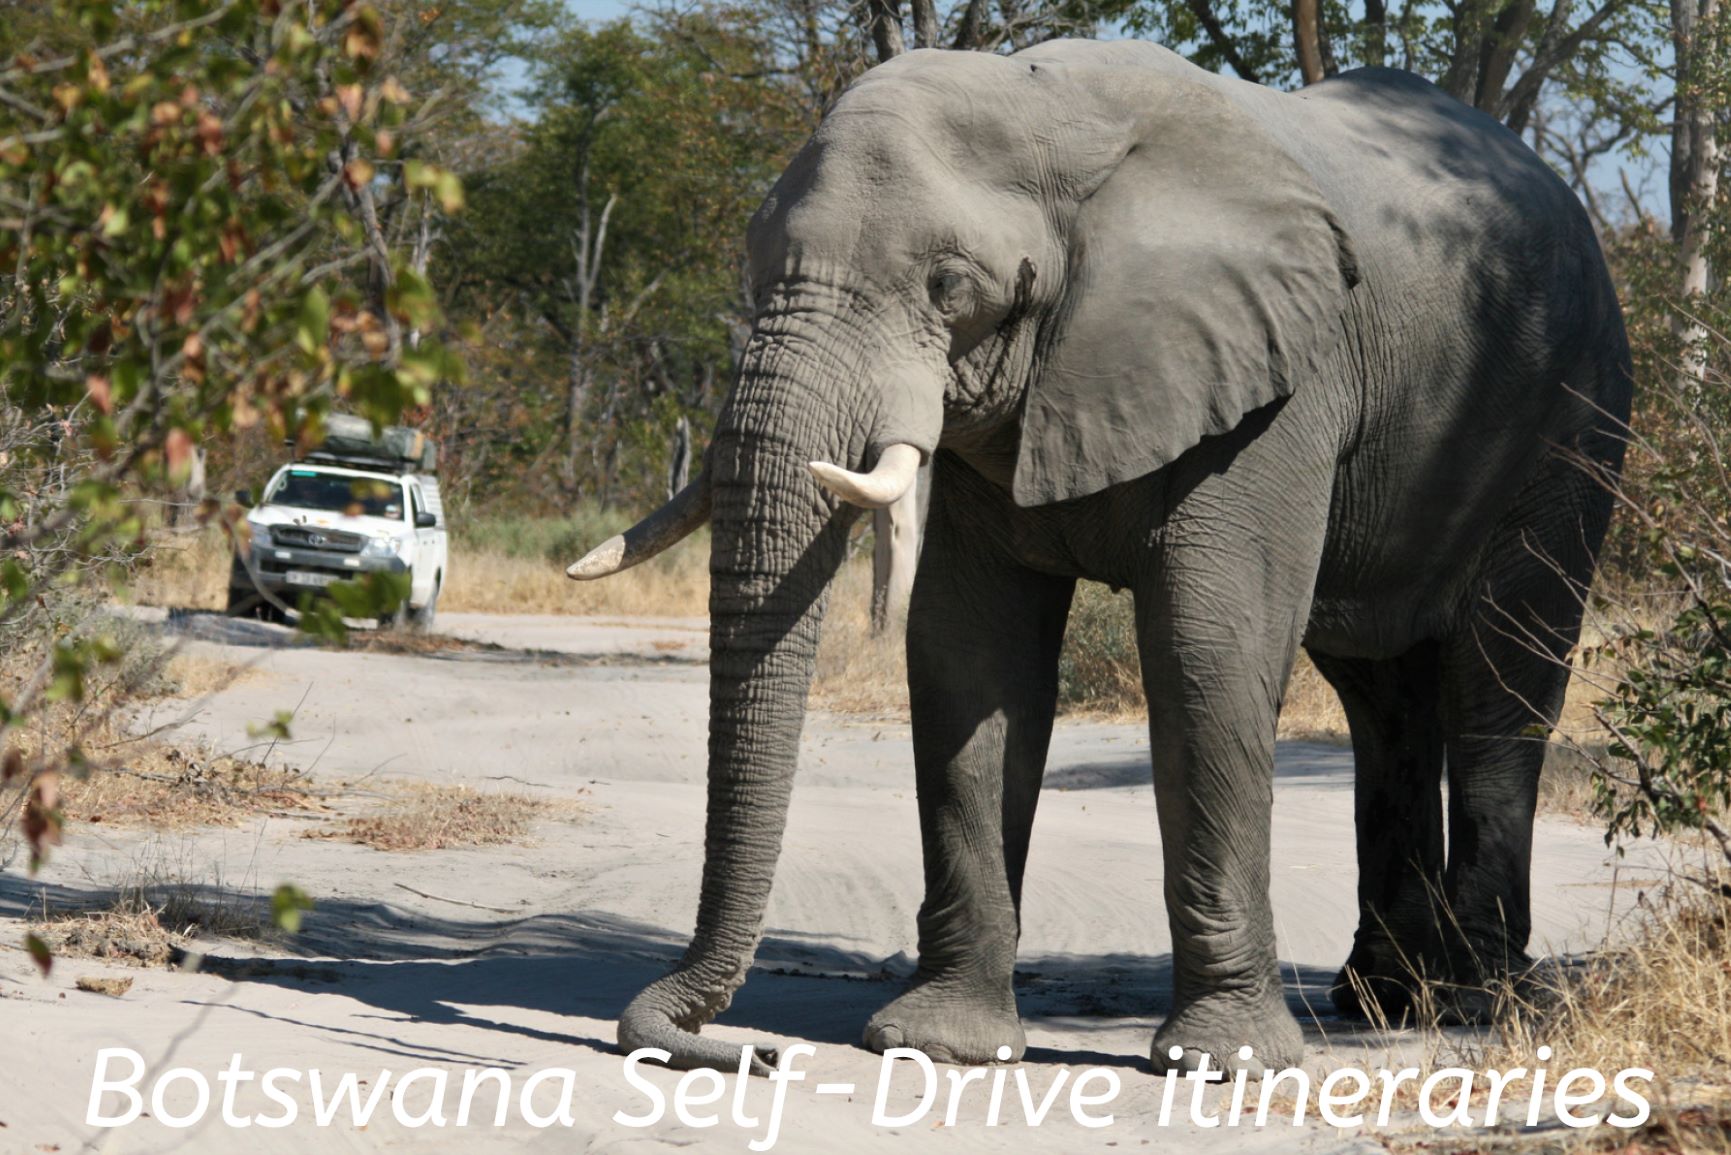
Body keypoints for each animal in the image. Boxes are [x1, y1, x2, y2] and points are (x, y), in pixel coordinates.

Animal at [564, 38, 1620, 1087]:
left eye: (952, 288)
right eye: (753, 271)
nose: (752, 1052)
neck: (1048, 110)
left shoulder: (1279, 383)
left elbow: (1207, 647)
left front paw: (1223, 1061)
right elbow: (970, 655)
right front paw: (935, 1043)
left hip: (1571, 420)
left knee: (1501, 679)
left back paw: (1471, 1001)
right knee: (1381, 694)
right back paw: (1381, 998)